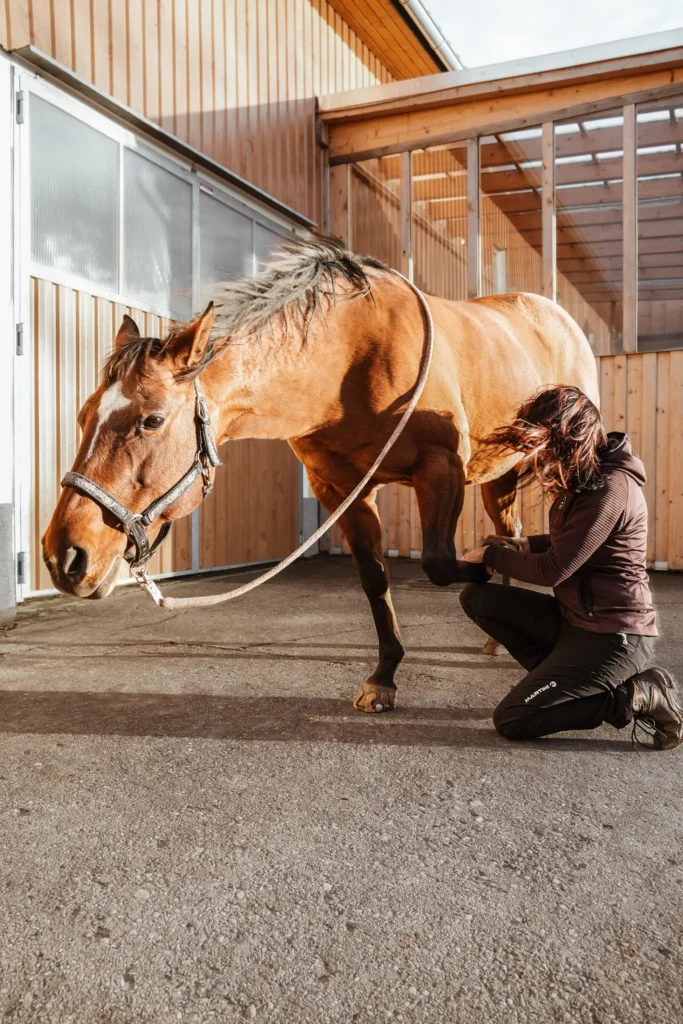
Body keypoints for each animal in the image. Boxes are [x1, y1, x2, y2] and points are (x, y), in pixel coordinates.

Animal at [42, 236, 599, 713]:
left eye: (152, 420)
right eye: (84, 415)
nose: (63, 556)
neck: (351, 358)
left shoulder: (439, 469)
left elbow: (440, 563)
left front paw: (479, 570)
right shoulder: (341, 490)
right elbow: (375, 579)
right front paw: (383, 678)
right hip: (498, 476)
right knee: (511, 529)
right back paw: (492, 637)